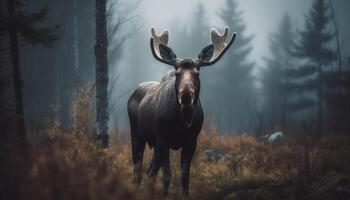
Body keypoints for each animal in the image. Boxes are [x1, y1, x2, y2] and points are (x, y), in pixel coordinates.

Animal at [127, 26, 237, 195]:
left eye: (197, 73)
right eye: (177, 73)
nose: (186, 95)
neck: (181, 122)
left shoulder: (191, 141)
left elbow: (185, 177)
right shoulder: (163, 139)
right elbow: (167, 176)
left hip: (154, 145)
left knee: (150, 173)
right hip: (137, 134)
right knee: (137, 171)